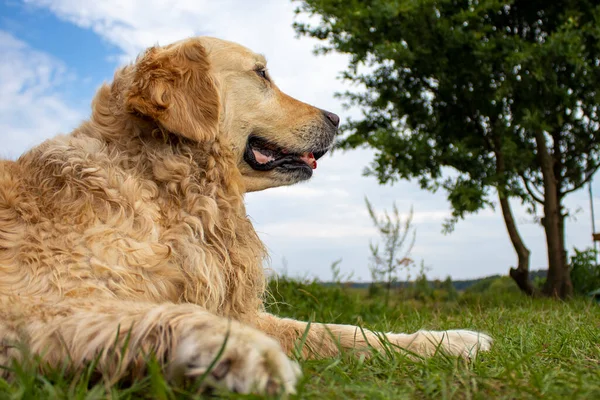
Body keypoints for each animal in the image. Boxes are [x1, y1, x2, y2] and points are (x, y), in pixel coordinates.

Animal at [1, 37, 492, 394]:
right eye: (261, 74)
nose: (336, 118)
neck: (163, 185)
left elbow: (344, 331)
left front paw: (449, 341)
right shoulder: (42, 305)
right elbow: (164, 316)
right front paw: (241, 354)